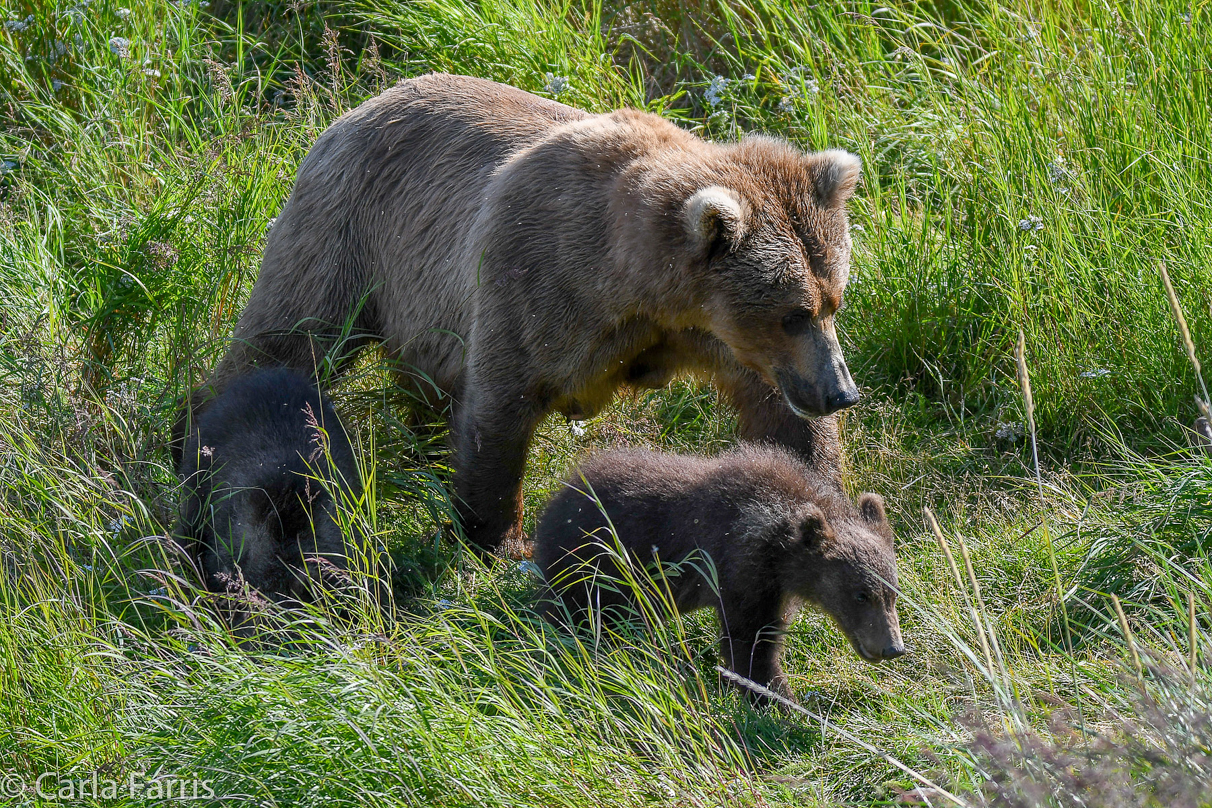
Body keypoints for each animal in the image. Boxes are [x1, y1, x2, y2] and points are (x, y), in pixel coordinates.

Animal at [179, 74, 862, 557]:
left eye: (833, 299)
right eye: (793, 312)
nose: (841, 392)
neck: (637, 284)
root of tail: (353, 108)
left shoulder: (713, 336)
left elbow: (781, 419)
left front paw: (822, 506)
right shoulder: (535, 278)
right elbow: (501, 407)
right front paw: (501, 537)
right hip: (349, 235)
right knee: (288, 339)